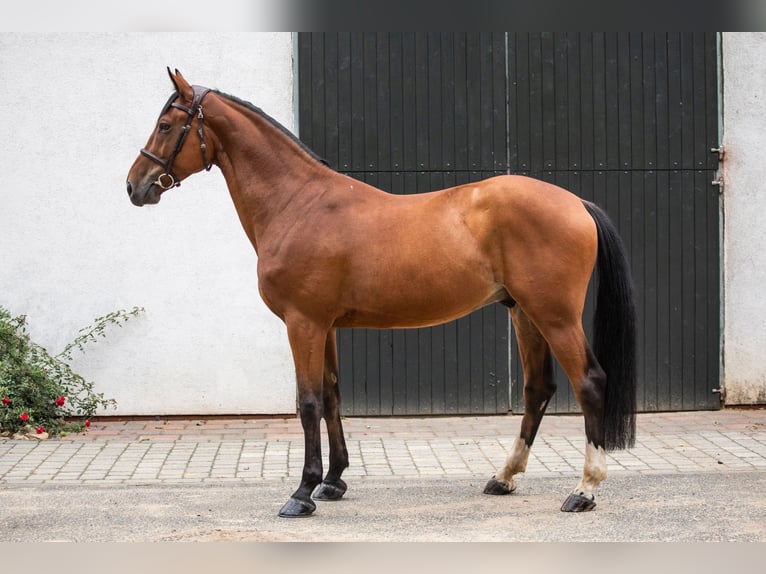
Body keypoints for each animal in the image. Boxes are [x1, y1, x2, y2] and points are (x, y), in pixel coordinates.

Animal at [126, 70, 640, 520]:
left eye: (166, 125)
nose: (135, 186)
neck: (299, 204)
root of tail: (576, 203)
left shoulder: (303, 322)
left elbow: (308, 402)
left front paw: (302, 492)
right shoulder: (326, 326)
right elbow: (332, 396)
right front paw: (333, 481)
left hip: (555, 316)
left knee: (589, 382)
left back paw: (584, 490)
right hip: (524, 314)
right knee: (538, 388)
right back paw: (504, 477)